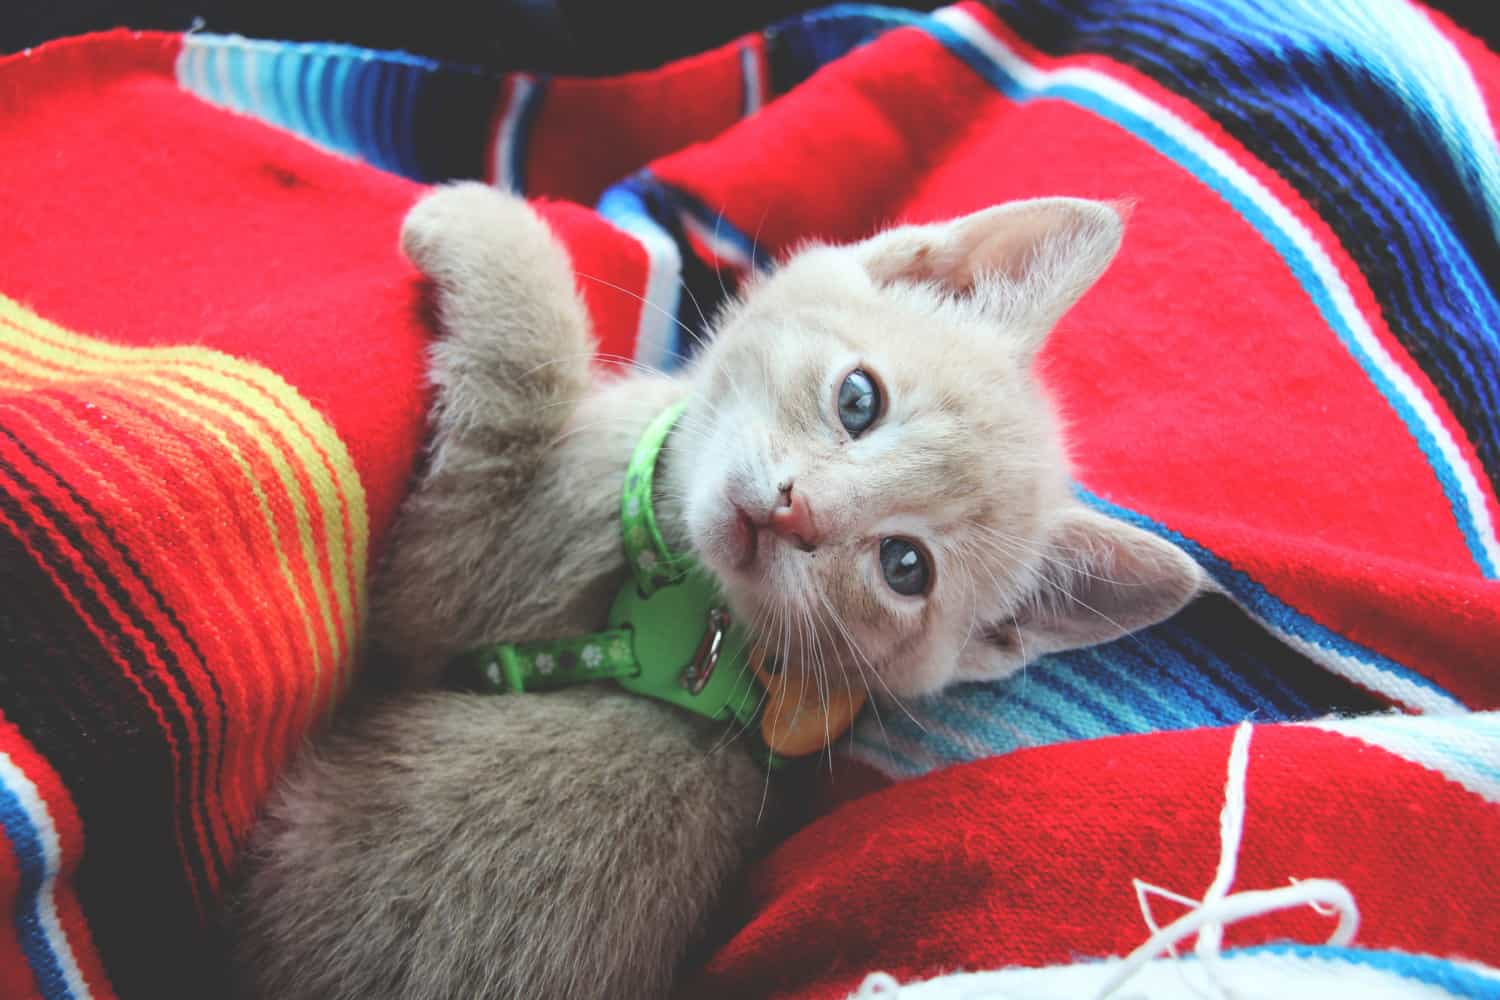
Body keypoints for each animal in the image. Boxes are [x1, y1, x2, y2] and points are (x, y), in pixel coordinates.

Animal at [234, 182, 1206, 1000]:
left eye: (904, 567)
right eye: (859, 400)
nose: (796, 512)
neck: (699, 620)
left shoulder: (468, 564)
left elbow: (526, 376)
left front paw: (477, 216)